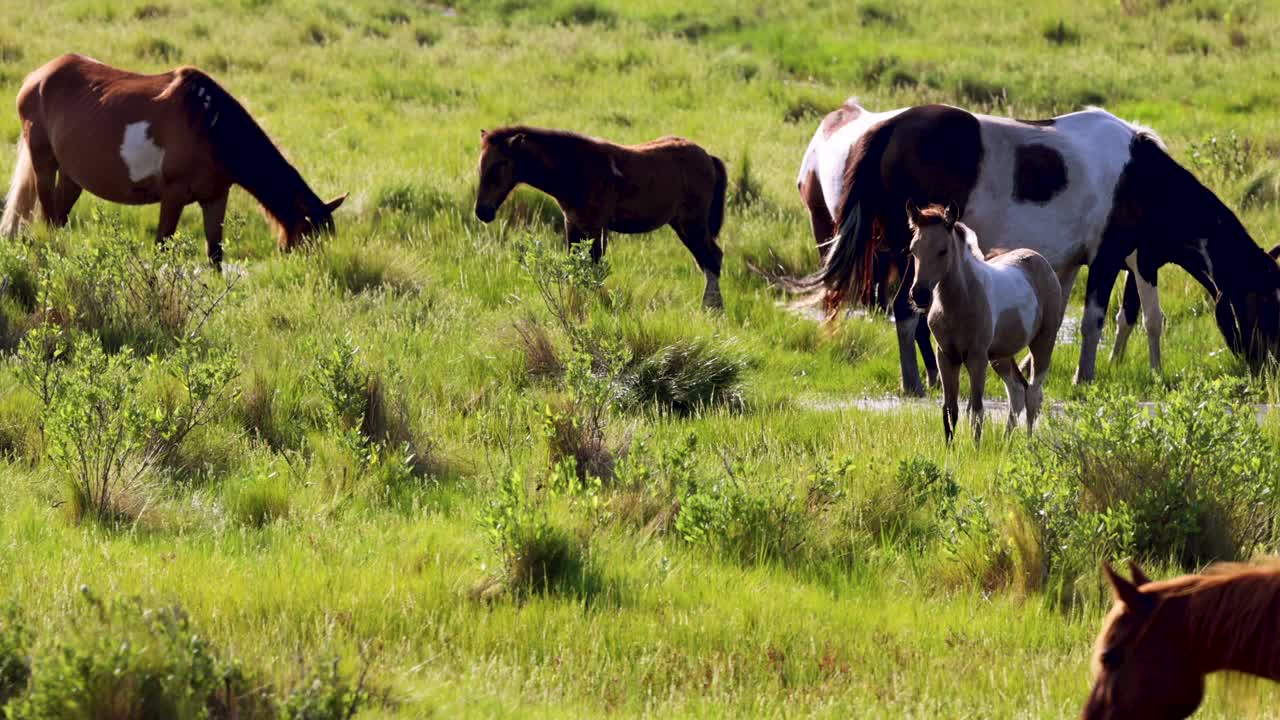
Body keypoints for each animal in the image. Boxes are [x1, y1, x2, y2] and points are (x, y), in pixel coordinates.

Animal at [0, 53, 345, 266]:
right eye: (308, 241)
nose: (315, 279)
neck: (209, 124)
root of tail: (35, 78)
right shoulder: (173, 195)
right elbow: (162, 246)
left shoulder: (216, 197)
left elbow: (215, 253)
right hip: (45, 165)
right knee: (47, 220)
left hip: (73, 177)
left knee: (57, 220)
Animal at [473, 127, 732, 307]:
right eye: (480, 166)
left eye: (499, 165)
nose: (482, 211)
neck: (576, 168)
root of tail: (709, 157)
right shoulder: (573, 224)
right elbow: (575, 267)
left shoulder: (596, 226)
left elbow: (593, 268)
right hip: (680, 223)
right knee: (708, 260)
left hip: (692, 223)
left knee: (712, 258)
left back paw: (711, 311)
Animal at [793, 99, 1280, 392]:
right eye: (1263, 302)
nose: (1269, 366)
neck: (1139, 175)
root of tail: (887, 128)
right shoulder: (1107, 258)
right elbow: (1094, 322)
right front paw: (1085, 378)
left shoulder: (1066, 266)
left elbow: (1056, 316)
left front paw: (1031, 370)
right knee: (905, 310)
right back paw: (916, 381)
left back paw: (929, 377)